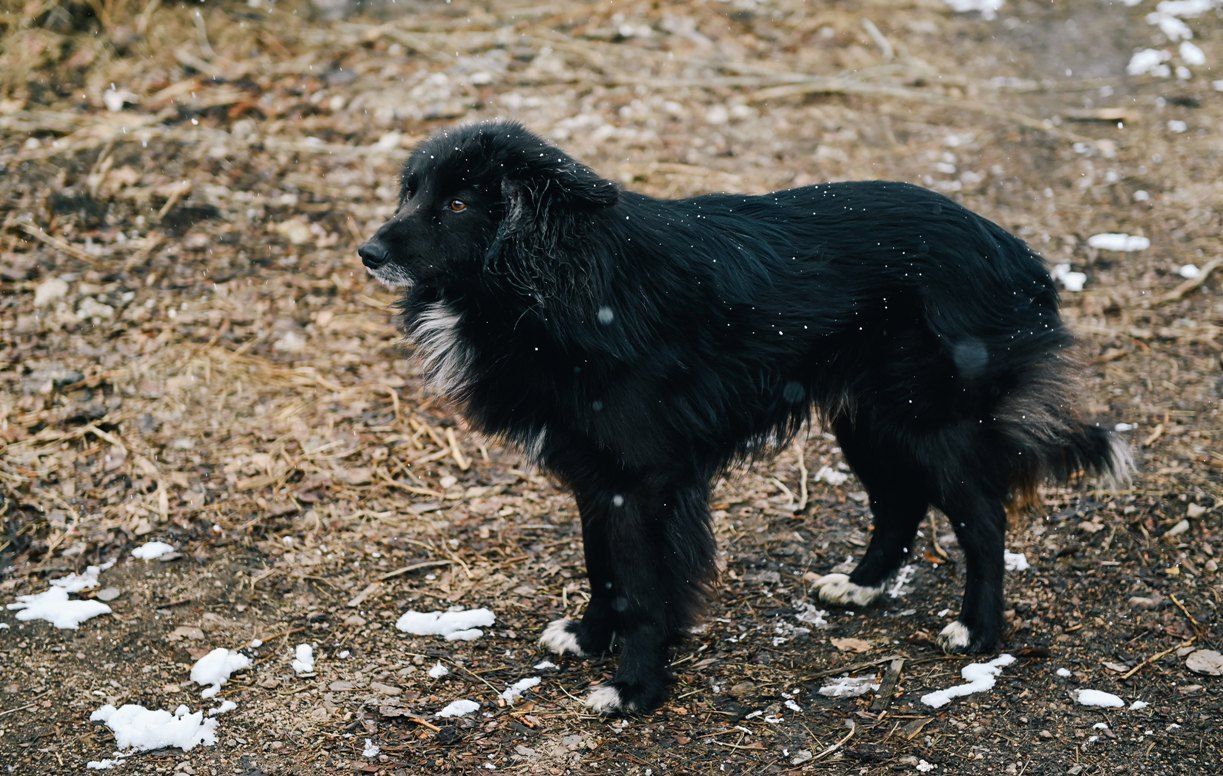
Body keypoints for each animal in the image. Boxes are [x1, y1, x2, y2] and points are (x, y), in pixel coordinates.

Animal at [357, 121, 1130, 718]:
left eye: (458, 203)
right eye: (412, 192)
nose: (367, 253)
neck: (553, 281)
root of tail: (1015, 251)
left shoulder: (644, 480)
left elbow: (643, 588)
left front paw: (634, 690)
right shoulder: (595, 473)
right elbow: (602, 567)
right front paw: (588, 638)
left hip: (929, 419)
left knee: (982, 520)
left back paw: (977, 631)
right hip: (867, 417)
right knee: (901, 501)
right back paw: (860, 585)